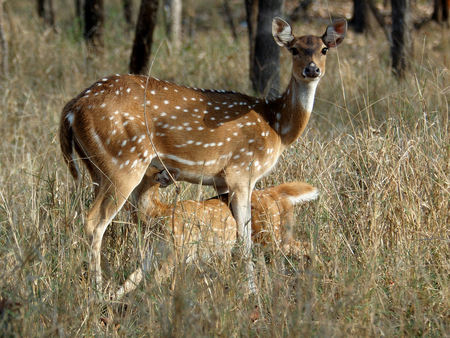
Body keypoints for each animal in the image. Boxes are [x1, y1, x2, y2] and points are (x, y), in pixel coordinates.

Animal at [59, 17, 348, 292]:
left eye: (323, 49)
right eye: (294, 49)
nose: (312, 69)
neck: (276, 126)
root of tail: (72, 108)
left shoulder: (220, 179)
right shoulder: (242, 170)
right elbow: (244, 237)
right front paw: (252, 292)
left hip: (96, 167)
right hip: (122, 161)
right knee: (94, 222)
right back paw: (97, 291)